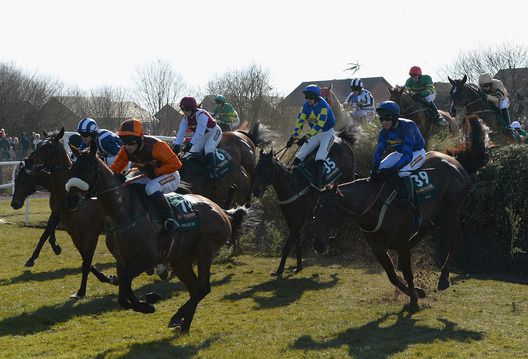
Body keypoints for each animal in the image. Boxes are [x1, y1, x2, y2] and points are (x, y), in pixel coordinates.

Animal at [22, 129, 116, 298]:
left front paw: (81, 291)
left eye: (50, 147)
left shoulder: (92, 233)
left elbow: (87, 261)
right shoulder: (74, 233)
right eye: (38, 145)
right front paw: (107, 278)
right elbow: (86, 260)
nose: (28, 161)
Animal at [65, 142, 250, 334]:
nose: (71, 200)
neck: (124, 211)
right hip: (180, 259)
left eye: (88, 170)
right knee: (194, 288)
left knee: (203, 288)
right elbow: (124, 287)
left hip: (204, 252)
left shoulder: (148, 258)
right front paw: (145, 304)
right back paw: (183, 323)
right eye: (72, 168)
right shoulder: (122, 259)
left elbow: (124, 283)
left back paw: (178, 316)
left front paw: (146, 305)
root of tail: (222, 211)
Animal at [251, 126, 354, 278]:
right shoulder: (290, 218)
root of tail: (341, 137)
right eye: (257, 167)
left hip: (347, 174)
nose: (256, 191)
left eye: (267, 169)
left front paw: (279, 270)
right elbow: (296, 242)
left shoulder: (300, 218)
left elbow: (288, 245)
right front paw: (298, 266)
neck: (293, 185)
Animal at [310, 150, 470, 308]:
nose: (318, 244)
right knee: (427, 228)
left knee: (455, 237)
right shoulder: (377, 248)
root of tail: (454, 160)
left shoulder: (401, 242)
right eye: (315, 211)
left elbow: (408, 273)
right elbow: (392, 276)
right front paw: (417, 292)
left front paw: (414, 298)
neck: (373, 207)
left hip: (452, 206)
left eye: (330, 211)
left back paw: (443, 278)